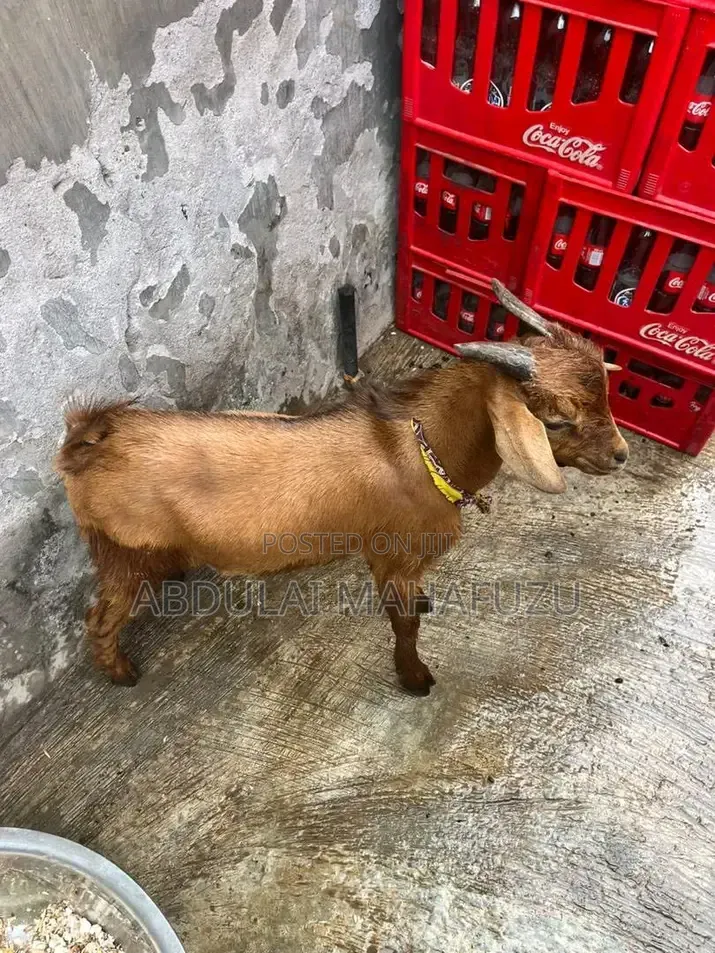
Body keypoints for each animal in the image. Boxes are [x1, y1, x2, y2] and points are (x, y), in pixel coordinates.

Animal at [54, 280, 628, 695]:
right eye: (556, 421)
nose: (621, 456)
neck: (420, 451)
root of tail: (90, 441)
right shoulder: (394, 559)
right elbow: (405, 627)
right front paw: (415, 680)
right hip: (124, 554)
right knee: (98, 619)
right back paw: (122, 674)